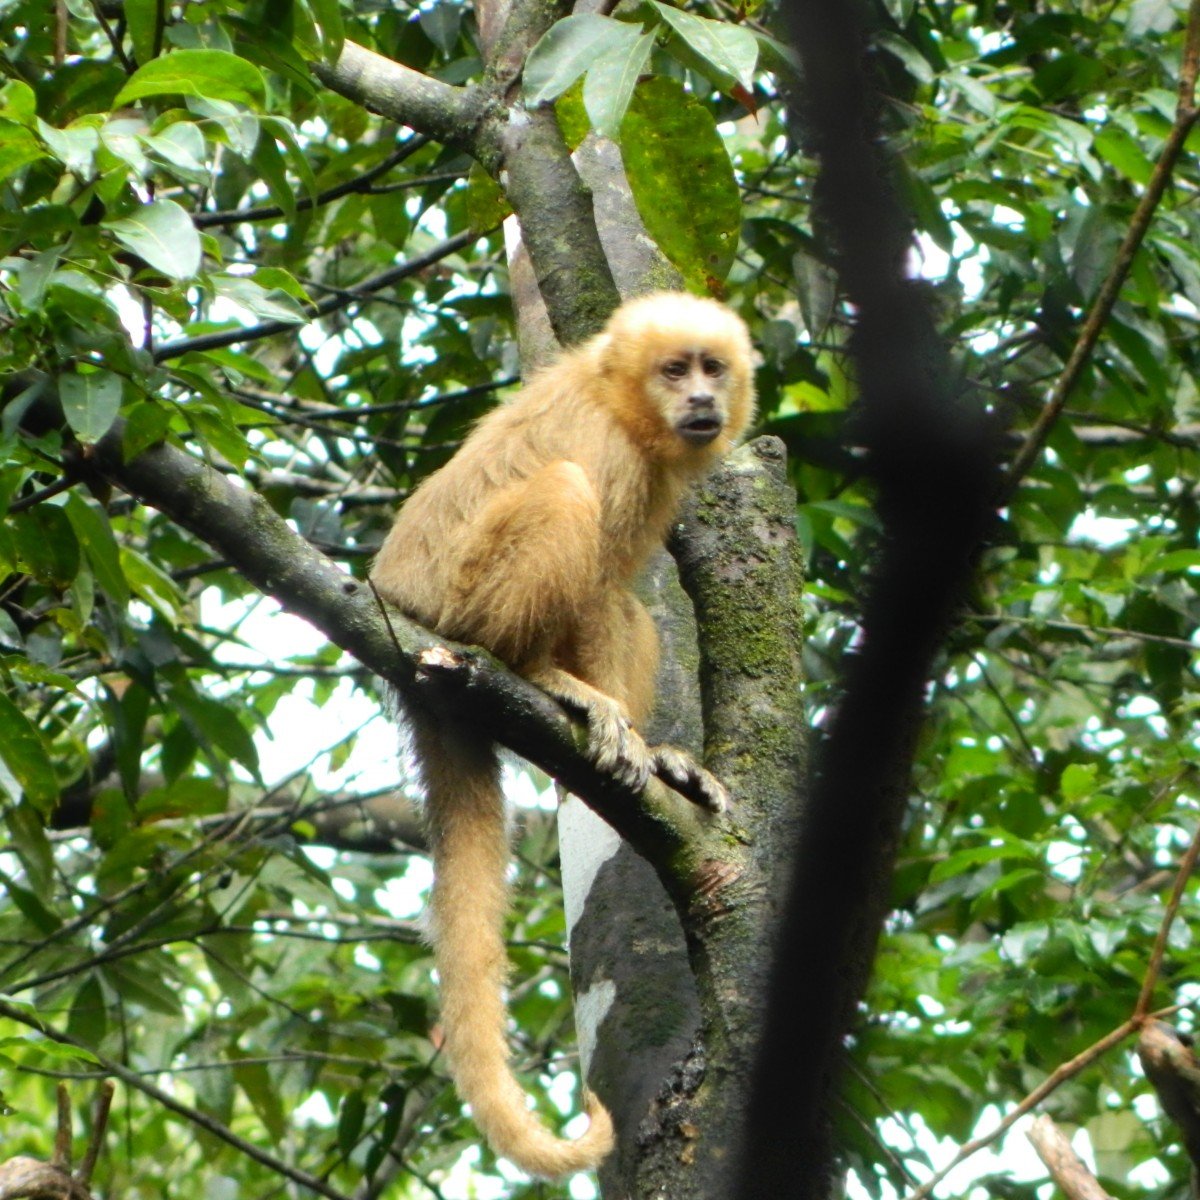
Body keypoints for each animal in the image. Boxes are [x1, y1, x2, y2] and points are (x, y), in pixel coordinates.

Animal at [369, 292, 753, 1180]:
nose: (700, 400)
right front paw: (584, 697)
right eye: (674, 370)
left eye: (711, 369)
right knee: (569, 496)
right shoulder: (609, 447)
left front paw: (660, 759)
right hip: (461, 604)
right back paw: (533, 673)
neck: (623, 404)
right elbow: (593, 573)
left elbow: (614, 599)